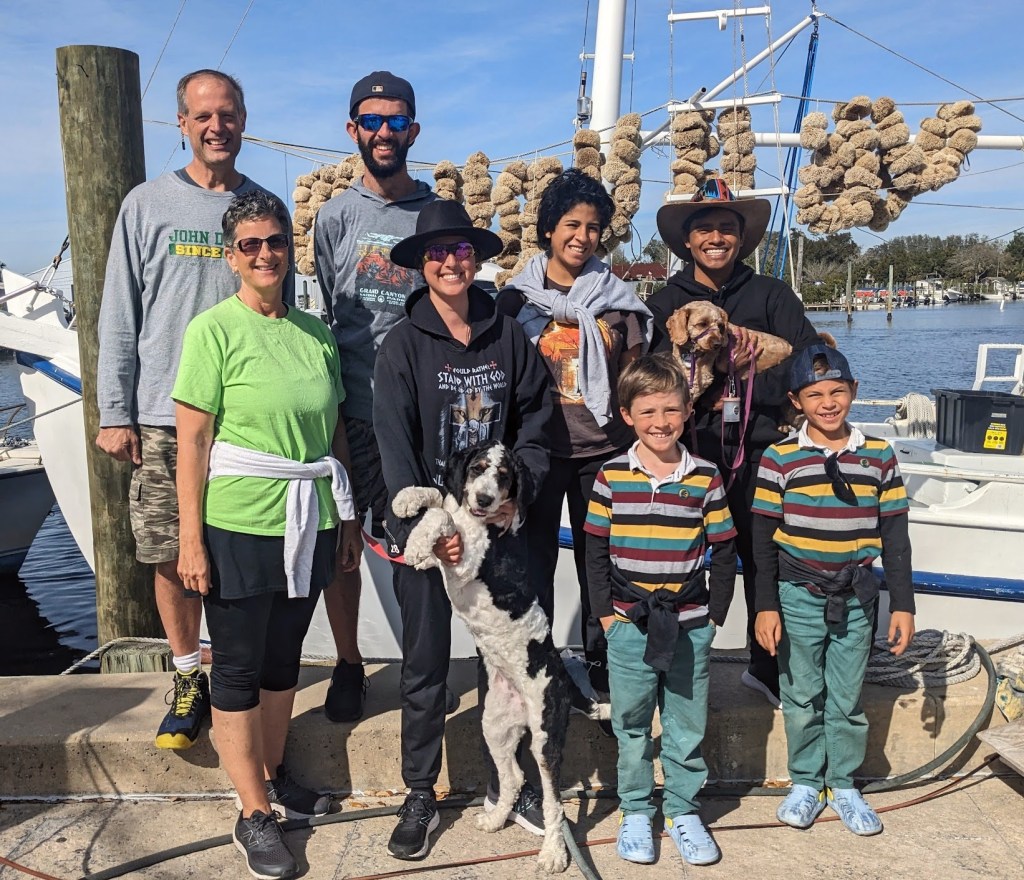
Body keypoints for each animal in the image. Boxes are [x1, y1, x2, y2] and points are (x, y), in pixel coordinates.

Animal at [393, 440, 607, 873]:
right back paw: (495, 819)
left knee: (555, 803)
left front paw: (418, 545)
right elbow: (439, 497)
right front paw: (407, 499)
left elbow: (442, 514)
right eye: (477, 468)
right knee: (511, 778)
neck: (478, 520)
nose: (484, 498)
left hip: (545, 738)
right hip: (494, 725)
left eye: (505, 476)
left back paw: (553, 855)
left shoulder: (464, 560)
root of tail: (564, 679)